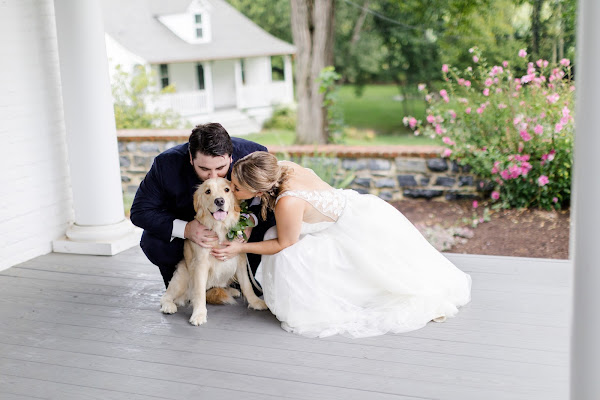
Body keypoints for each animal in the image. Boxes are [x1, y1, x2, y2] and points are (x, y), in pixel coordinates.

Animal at [158, 177, 266, 324]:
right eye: (208, 191)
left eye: (227, 189)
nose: (219, 201)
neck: (219, 228)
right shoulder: (200, 264)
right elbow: (199, 293)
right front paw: (199, 314)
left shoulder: (240, 259)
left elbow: (247, 284)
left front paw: (255, 302)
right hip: (182, 276)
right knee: (166, 295)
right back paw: (168, 306)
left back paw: (232, 291)